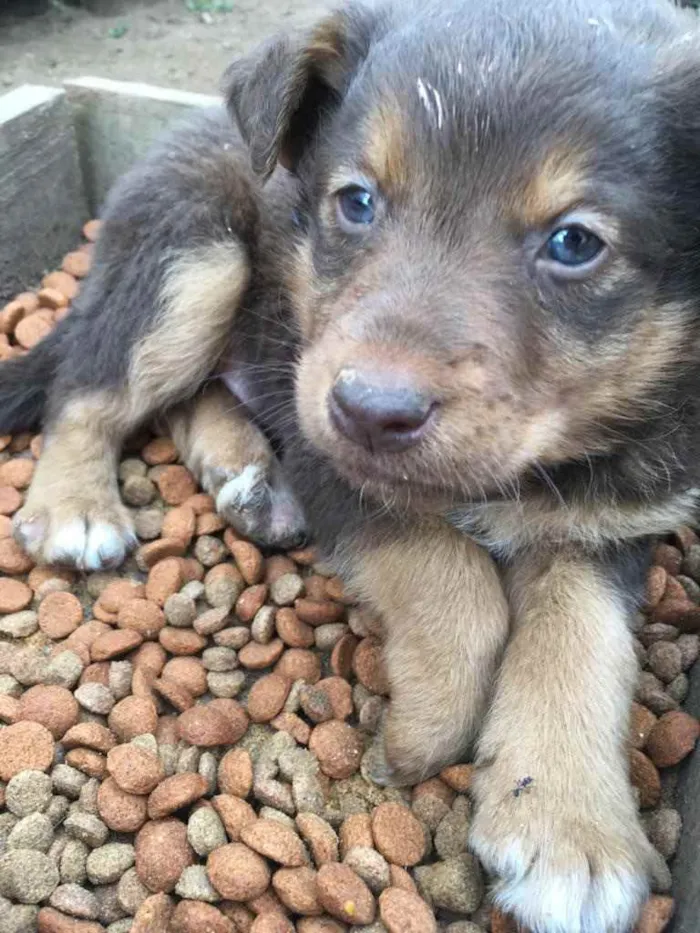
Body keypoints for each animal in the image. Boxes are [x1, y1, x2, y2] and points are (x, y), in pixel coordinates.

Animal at [1, 1, 700, 932]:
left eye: (575, 242)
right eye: (357, 201)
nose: (368, 408)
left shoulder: (612, 520)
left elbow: (584, 644)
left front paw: (570, 829)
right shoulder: (327, 450)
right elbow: (457, 584)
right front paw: (422, 734)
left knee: (186, 395)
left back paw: (244, 476)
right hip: (195, 256)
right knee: (89, 387)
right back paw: (77, 505)